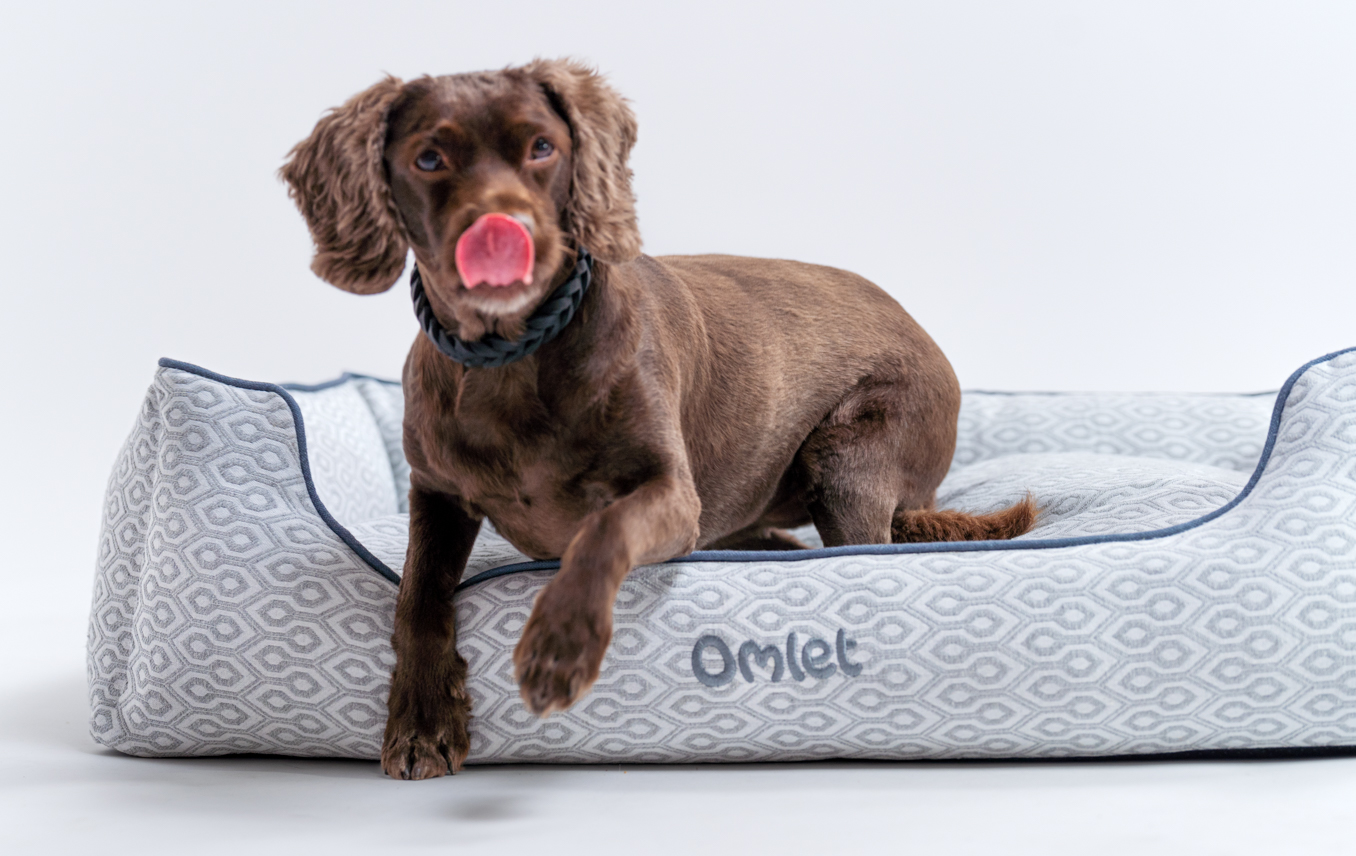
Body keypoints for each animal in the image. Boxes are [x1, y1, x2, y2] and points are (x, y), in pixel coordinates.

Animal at [280, 58, 1030, 781]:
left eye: (543, 147)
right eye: (429, 159)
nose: (504, 234)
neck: (512, 356)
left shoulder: (671, 494)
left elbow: (604, 530)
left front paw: (562, 644)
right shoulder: (434, 493)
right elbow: (416, 596)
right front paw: (421, 720)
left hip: (848, 460)